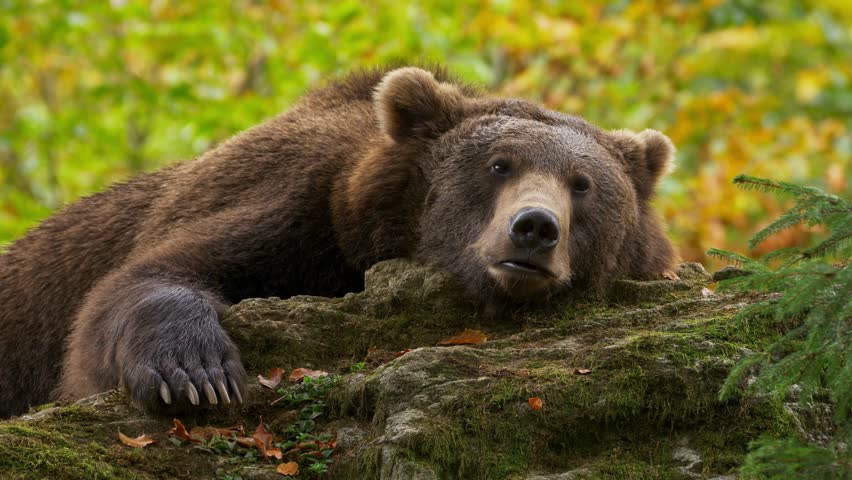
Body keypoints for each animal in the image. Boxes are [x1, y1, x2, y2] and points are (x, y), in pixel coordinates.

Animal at [0, 65, 677, 418]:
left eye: (582, 183)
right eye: (498, 165)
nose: (535, 227)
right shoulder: (296, 208)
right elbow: (154, 274)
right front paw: (195, 373)